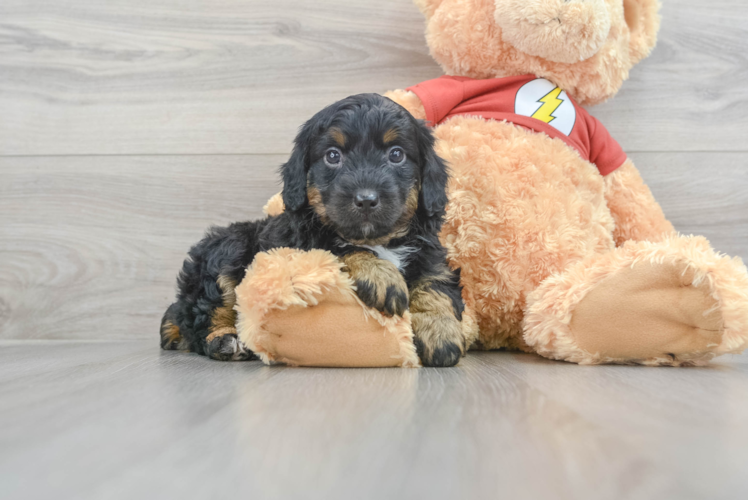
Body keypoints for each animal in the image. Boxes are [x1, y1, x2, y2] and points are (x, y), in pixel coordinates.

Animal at [161, 94, 464, 368]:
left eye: (397, 154)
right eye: (333, 156)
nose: (366, 199)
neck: (379, 239)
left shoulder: (430, 254)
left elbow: (435, 284)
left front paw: (441, 332)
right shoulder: (303, 245)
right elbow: (340, 246)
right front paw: (381, 275)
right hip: (227, 251)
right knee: (206, 314)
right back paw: (225, 340)